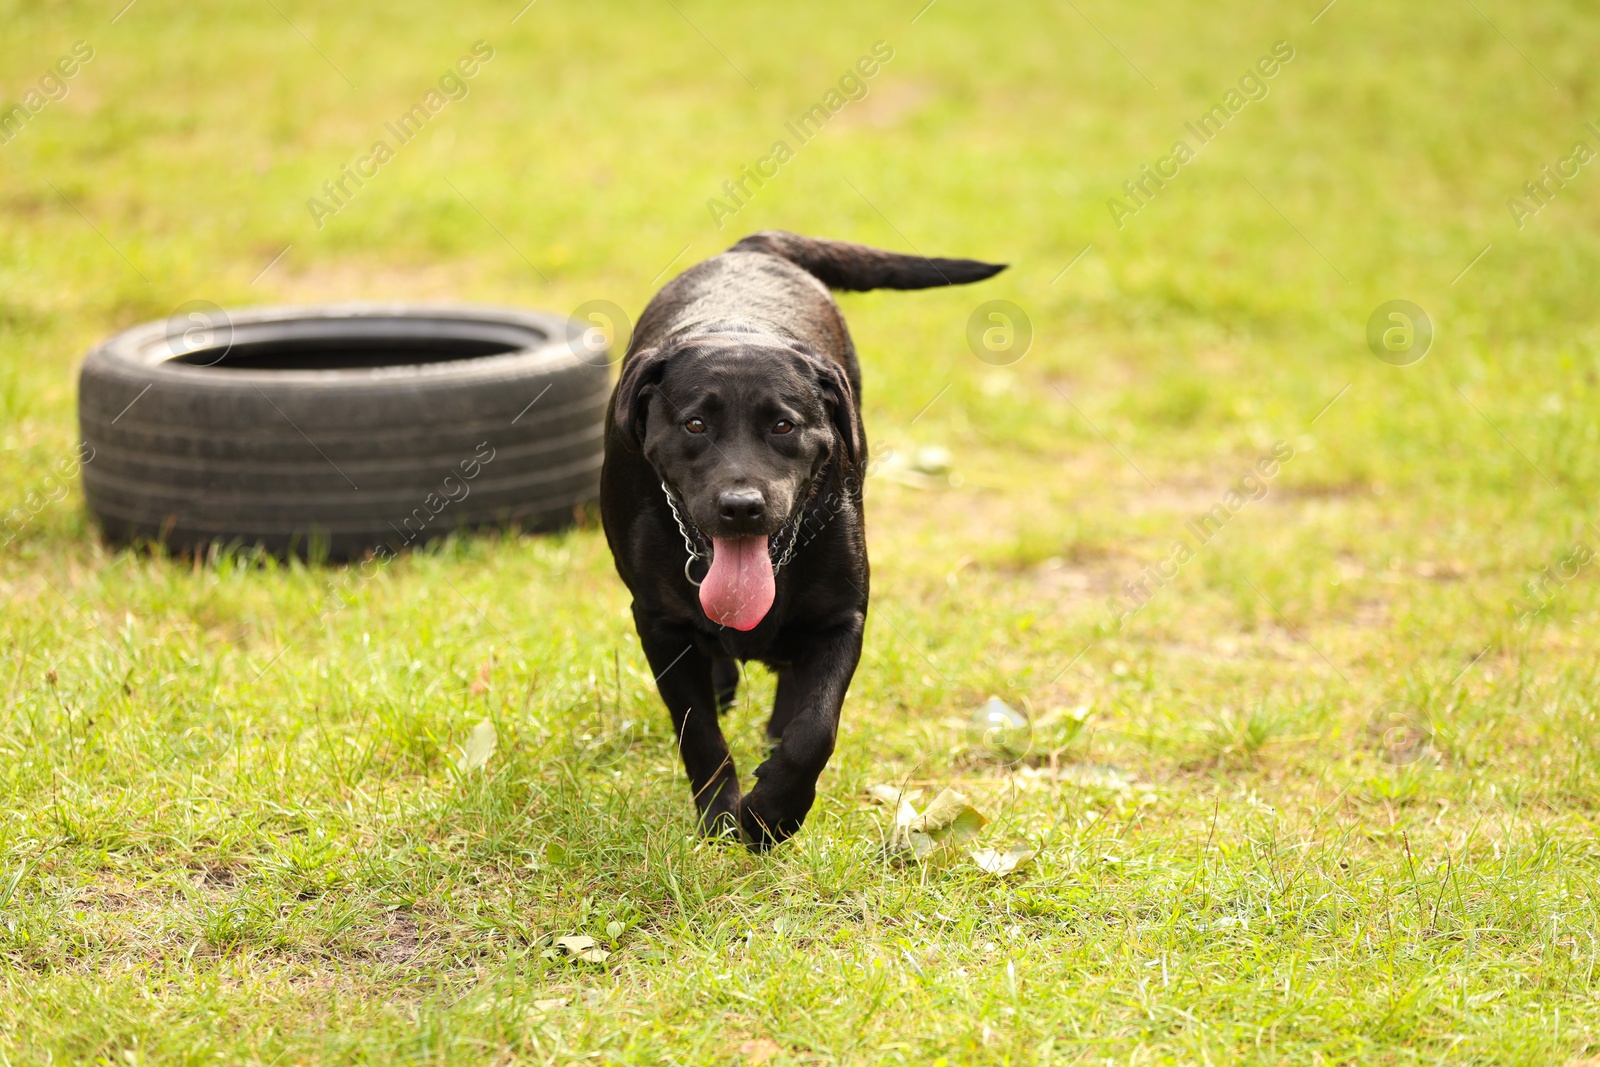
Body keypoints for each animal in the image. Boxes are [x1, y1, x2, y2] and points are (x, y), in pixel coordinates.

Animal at [601, 233, 998, 851]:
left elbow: (814, 727)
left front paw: (772, 812)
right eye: (695, 425)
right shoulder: (658, 623)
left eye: (783, 426)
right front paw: (722, 817)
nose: (741, 506)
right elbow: (699, 731)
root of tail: (753, 245)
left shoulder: (841, 617)